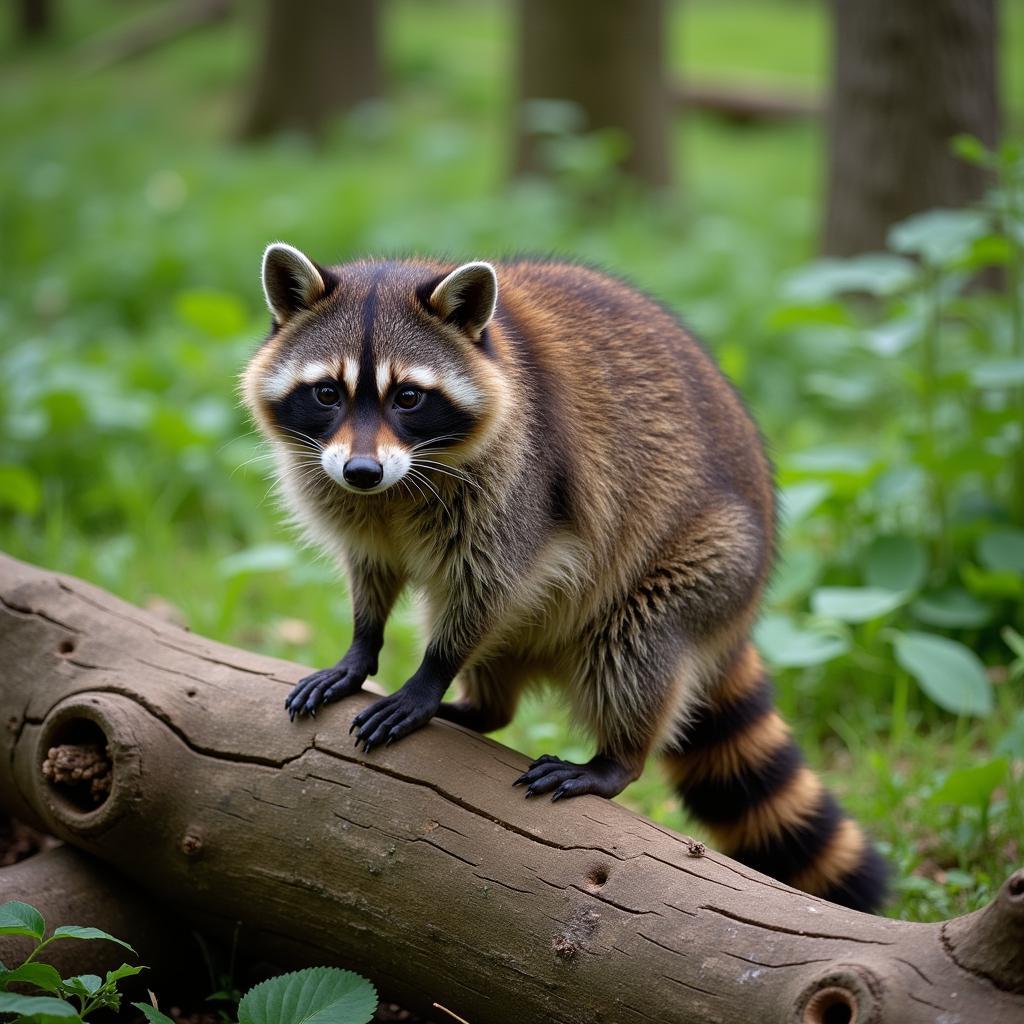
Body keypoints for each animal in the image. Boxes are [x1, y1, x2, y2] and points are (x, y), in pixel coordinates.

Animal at [241, 241, 888, 913]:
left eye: (409, 397)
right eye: (326, 393)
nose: (363, 471)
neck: (396, 486)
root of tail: (743, 612)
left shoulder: (521, 482)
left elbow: (490, 586)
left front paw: (430, 675)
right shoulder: (348, 498)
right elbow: (371, 569)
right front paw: (361, 646)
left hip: (710, 563)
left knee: (635, 645)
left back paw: (614, 758)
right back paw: (481, 708)